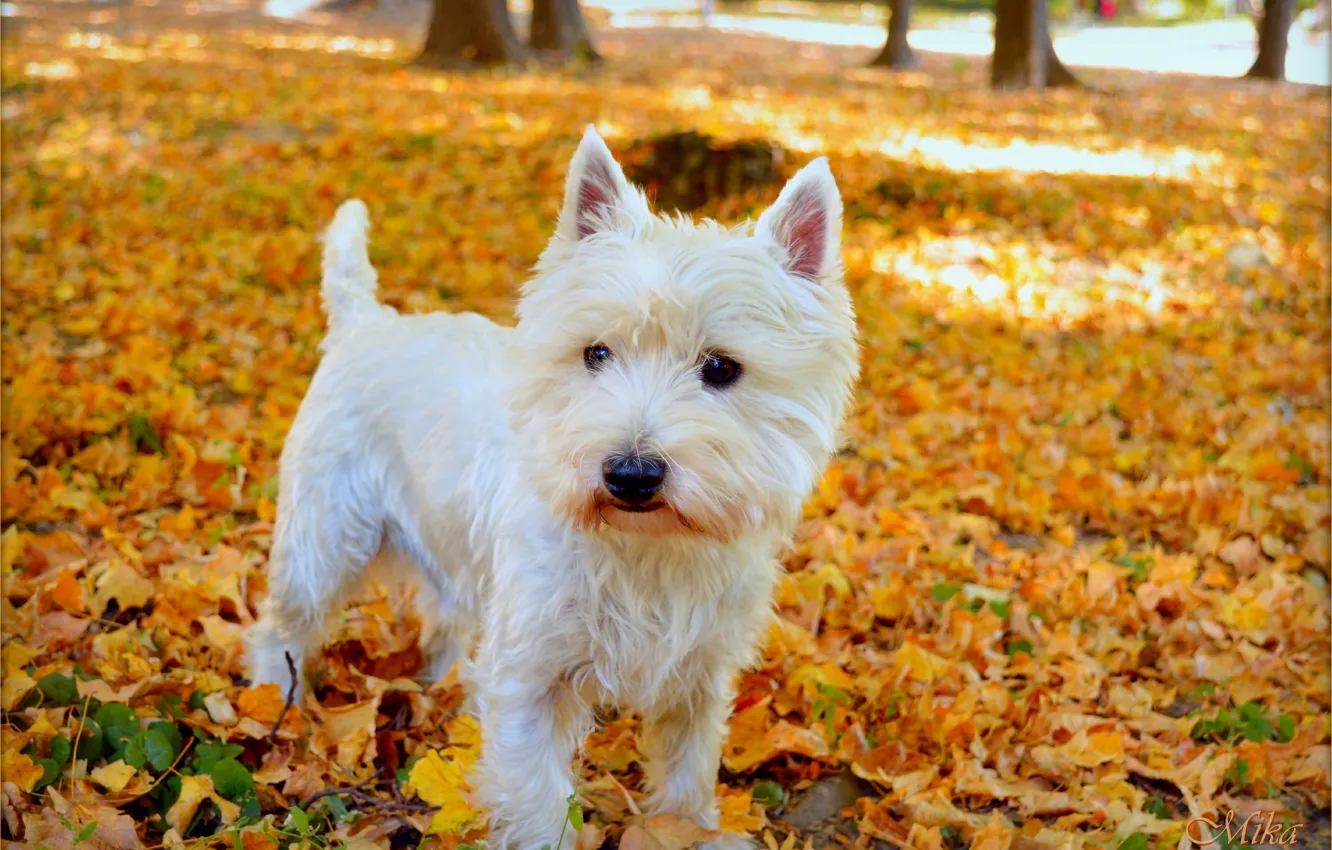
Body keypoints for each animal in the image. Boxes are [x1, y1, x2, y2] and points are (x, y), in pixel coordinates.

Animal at [246, 127, 857, 850]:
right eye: (596, 353)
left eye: (721, 368)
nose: (630, 474)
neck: (646, 550)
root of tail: (366, 322)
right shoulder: (531, 677)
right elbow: (539, 802)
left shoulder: (697, 678)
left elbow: (686, 779)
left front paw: (687, 829)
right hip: (325, 536)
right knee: (282, 625)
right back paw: (270, 706)